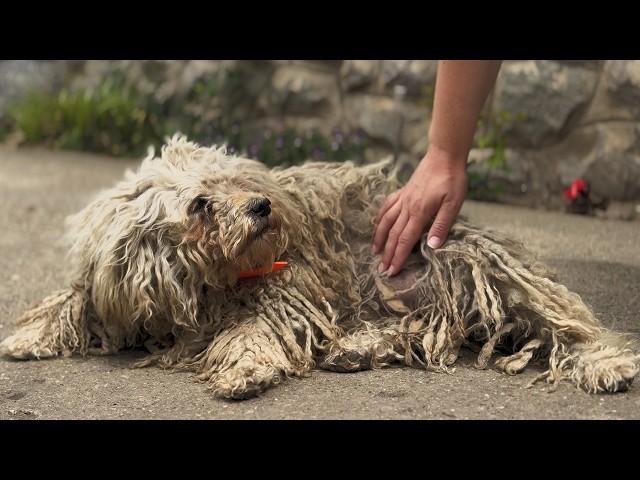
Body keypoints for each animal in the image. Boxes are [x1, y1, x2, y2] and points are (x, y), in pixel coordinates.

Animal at [2, 134, 636, 398]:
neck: (199, 283)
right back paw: (355, 349)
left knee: (567, 326)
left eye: (236, 180)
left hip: (474, 269)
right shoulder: (114, 284)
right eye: (202, 203)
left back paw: (605, 364)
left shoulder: (279, 291)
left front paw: (244, 370)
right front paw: (27, 336)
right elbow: (73, 298)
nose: (261, 207)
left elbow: (252, 331)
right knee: (395, 328)